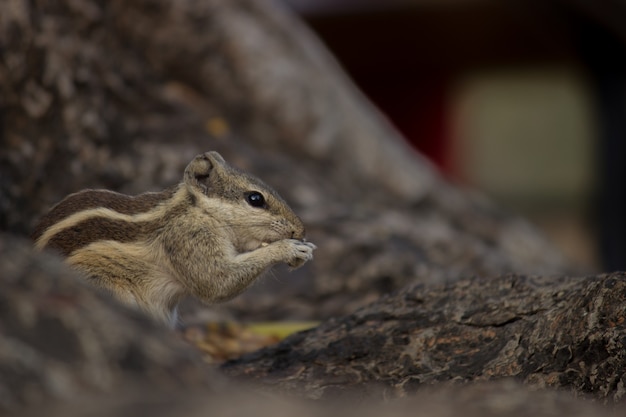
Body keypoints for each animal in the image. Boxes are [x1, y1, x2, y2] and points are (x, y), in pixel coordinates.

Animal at [31, 151, 314, 326]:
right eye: (255, 198)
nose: (299, 230)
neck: (198, 210)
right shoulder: (188, 238)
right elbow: (216, 282)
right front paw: (289, 249)